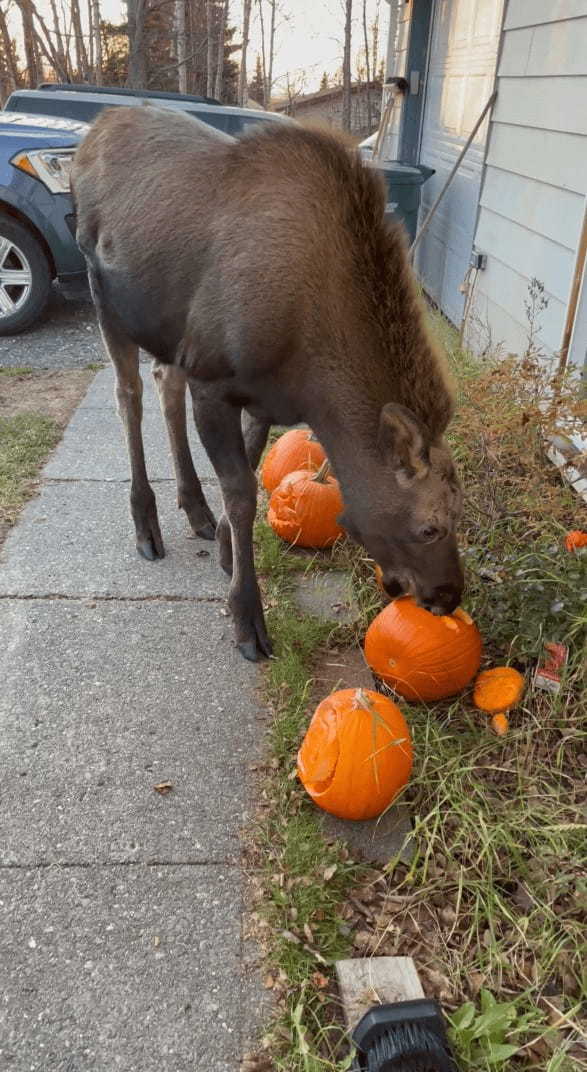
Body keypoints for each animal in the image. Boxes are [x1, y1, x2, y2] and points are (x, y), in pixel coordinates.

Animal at [73, 106, 464, 660]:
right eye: (429, 527)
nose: (449, 596)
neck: (311, 381)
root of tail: (98, 128)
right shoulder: (213, 380)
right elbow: (242, 493)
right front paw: (246, 617)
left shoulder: (261, 398)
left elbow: (252, 470)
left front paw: (221, 545)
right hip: (104, 295)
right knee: (129, 395)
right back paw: (146, 524)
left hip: (172, 334)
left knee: (164, 379)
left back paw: (193, 507)